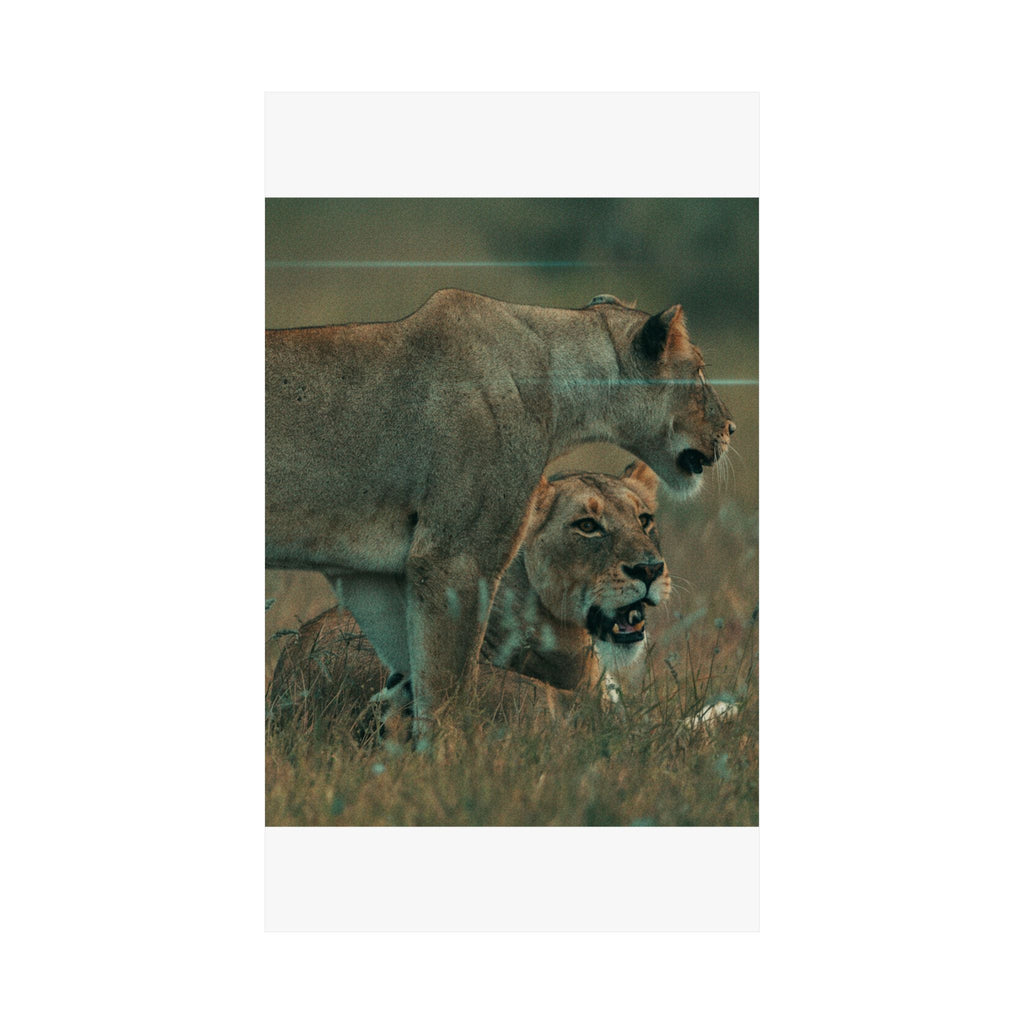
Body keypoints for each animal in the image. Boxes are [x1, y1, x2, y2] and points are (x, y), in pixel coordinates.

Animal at [266, 290, 734, 746]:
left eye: (645, 520)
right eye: (698, 371)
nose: (731, 428)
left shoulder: (368, 576)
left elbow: (411, 675)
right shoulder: (455, 558)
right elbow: (448, 692)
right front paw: (449, 761)